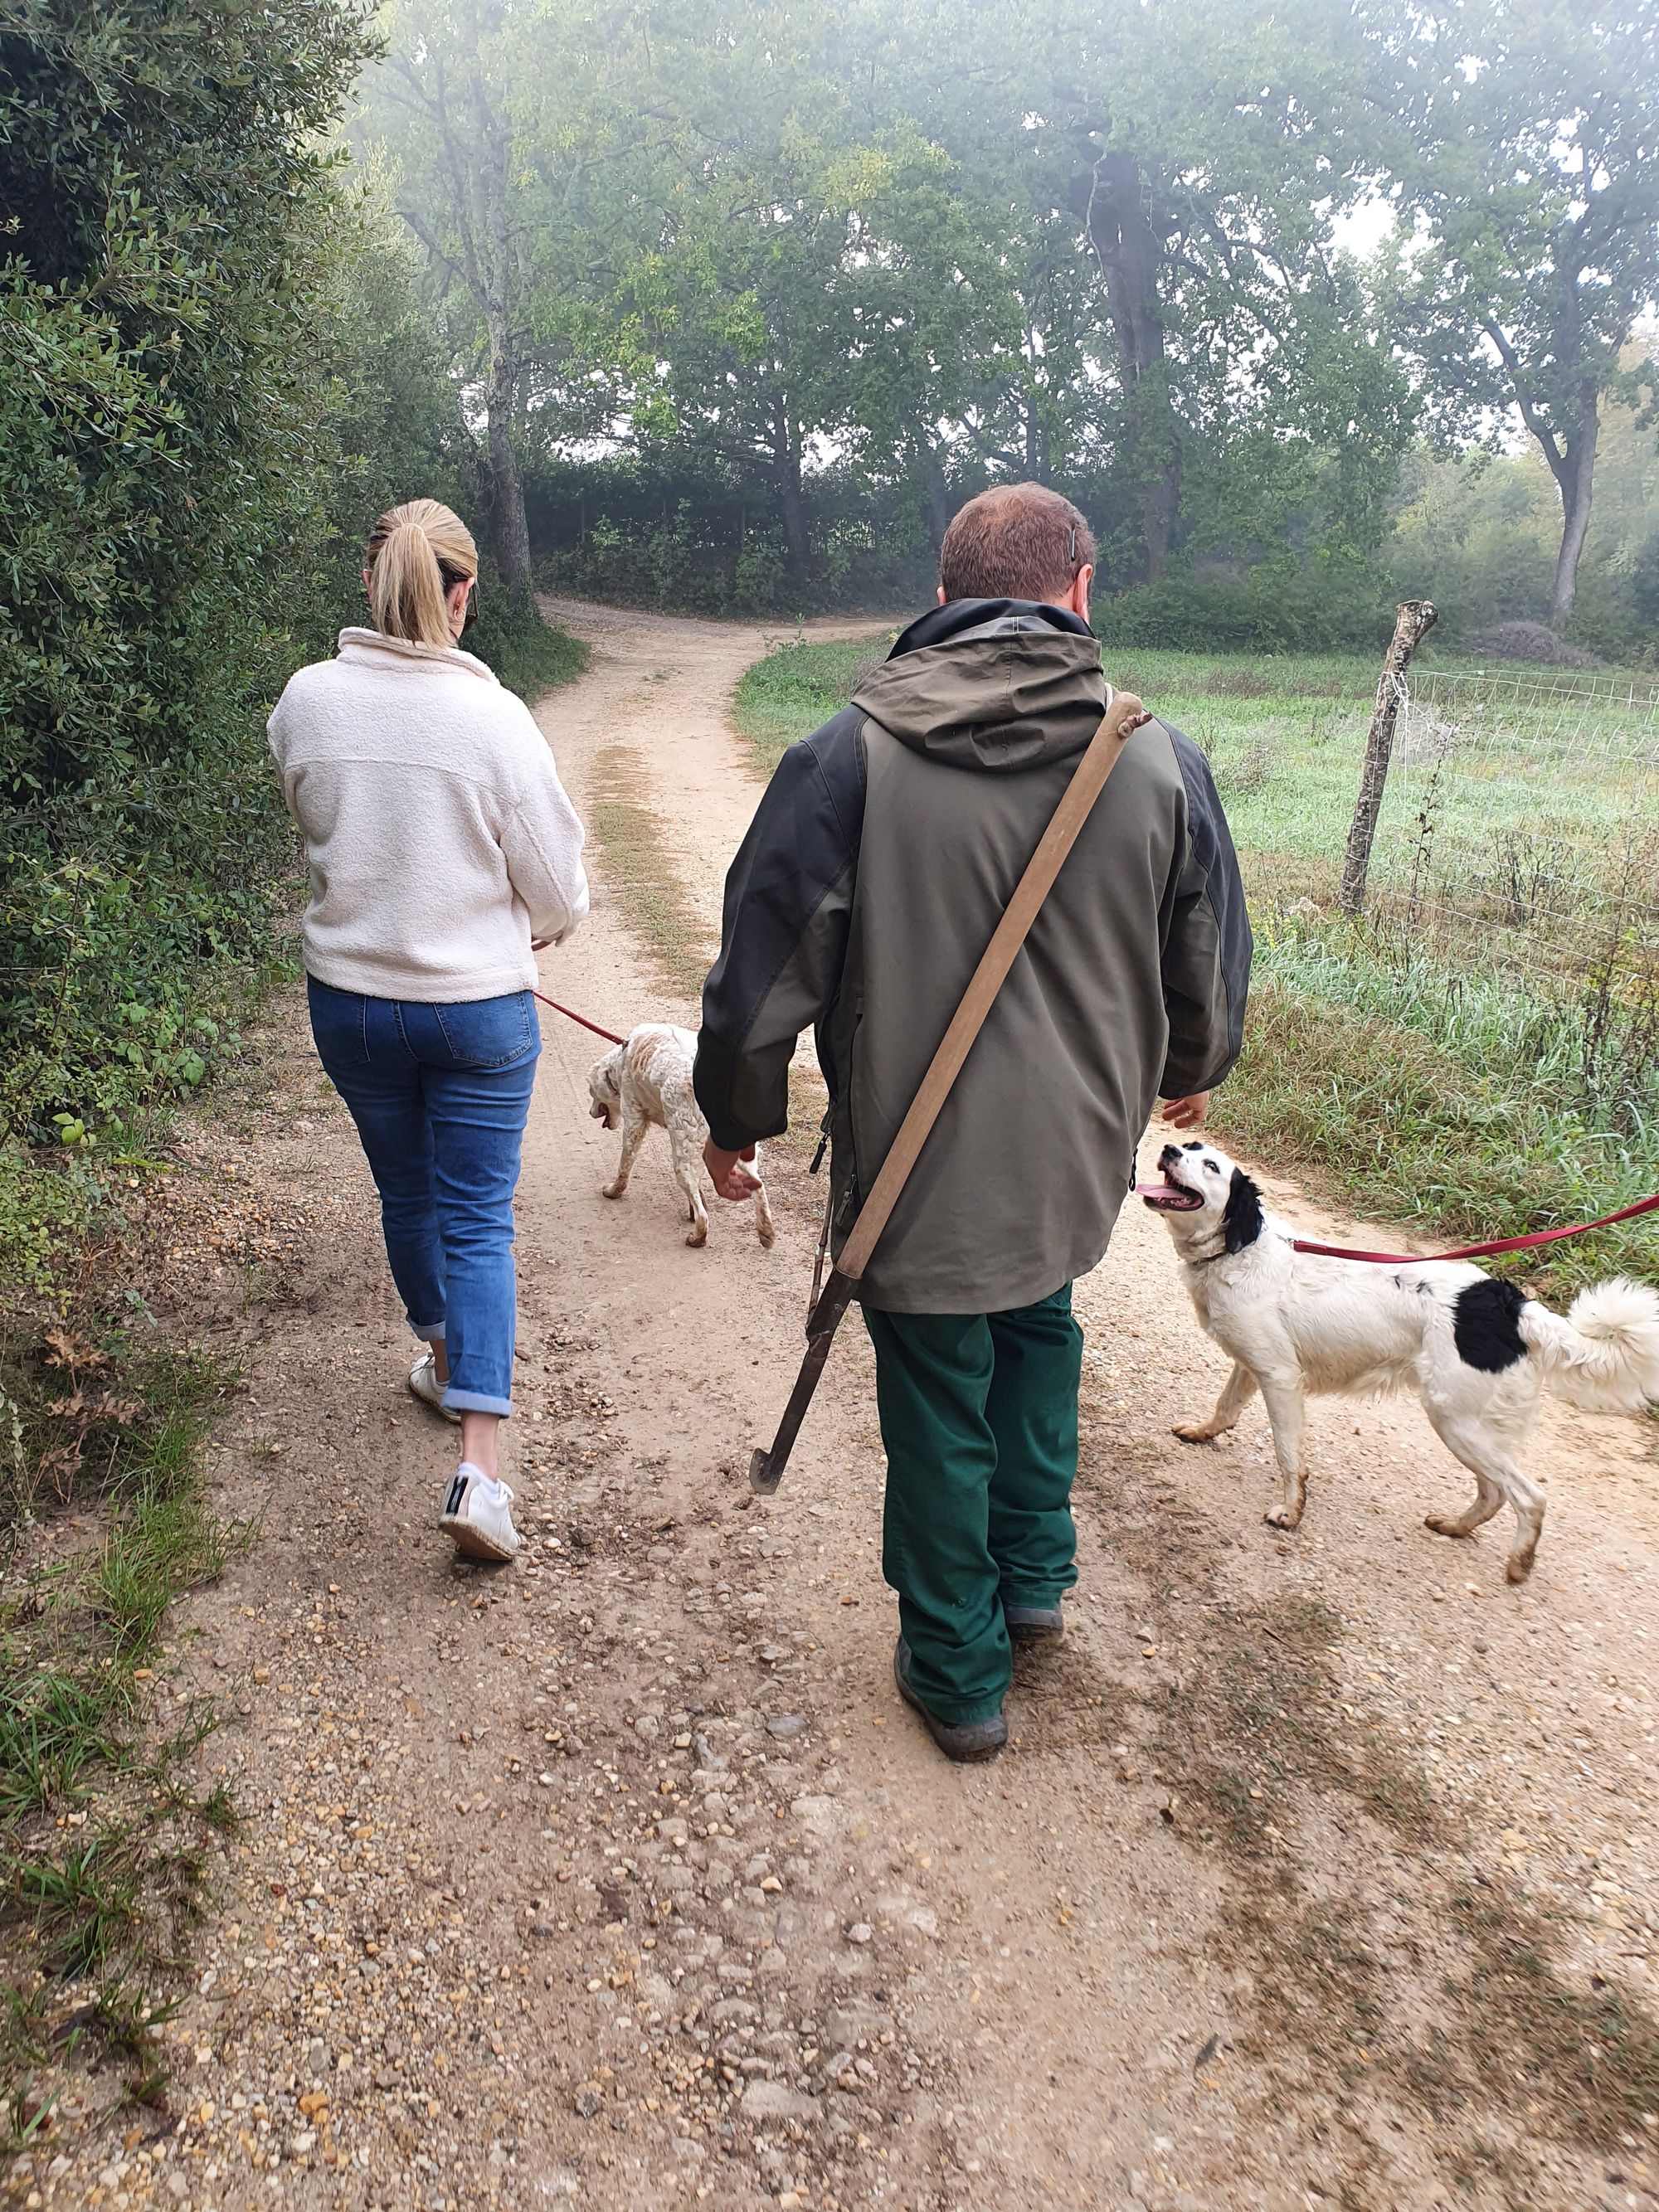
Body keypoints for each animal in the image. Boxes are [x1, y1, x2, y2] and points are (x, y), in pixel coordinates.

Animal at [588, 1026, 778, 1256]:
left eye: (592, 1092)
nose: (590, 1112)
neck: (623, 1059)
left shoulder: (634, 1120)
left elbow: (625, 1163)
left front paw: (614, 1191)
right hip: (734, 1148)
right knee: (758, 1187)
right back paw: (766, 1232)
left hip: (684, 1155)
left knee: (704, 1216)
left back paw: (698, 1237)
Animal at [1141, 1150, 1659, 1583]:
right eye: (1190, 1147)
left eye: (1210, 1166)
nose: (1169, 1149)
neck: (1240, 1249)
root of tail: (1511, 1305)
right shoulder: (1253, 1366)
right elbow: (1225, 1409)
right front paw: (1202, 1432)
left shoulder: (1281, 1378)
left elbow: (1289, 1456)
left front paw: (1291, 1512)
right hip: (1466, 1426)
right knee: (1494, 1492)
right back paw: (1455, 1527)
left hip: (1455, 1420)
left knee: (1528, 1497)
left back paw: (1519, 1564)